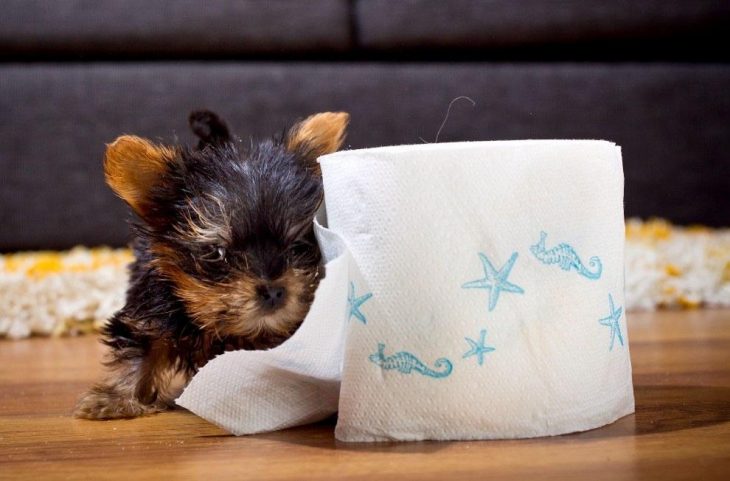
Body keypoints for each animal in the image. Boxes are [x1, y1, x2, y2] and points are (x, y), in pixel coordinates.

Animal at [75, 110, 348, 418]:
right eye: (217, 253)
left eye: (297, 245)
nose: (274, 291)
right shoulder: (153, 309)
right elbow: (140, 346)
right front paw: (117, 398)